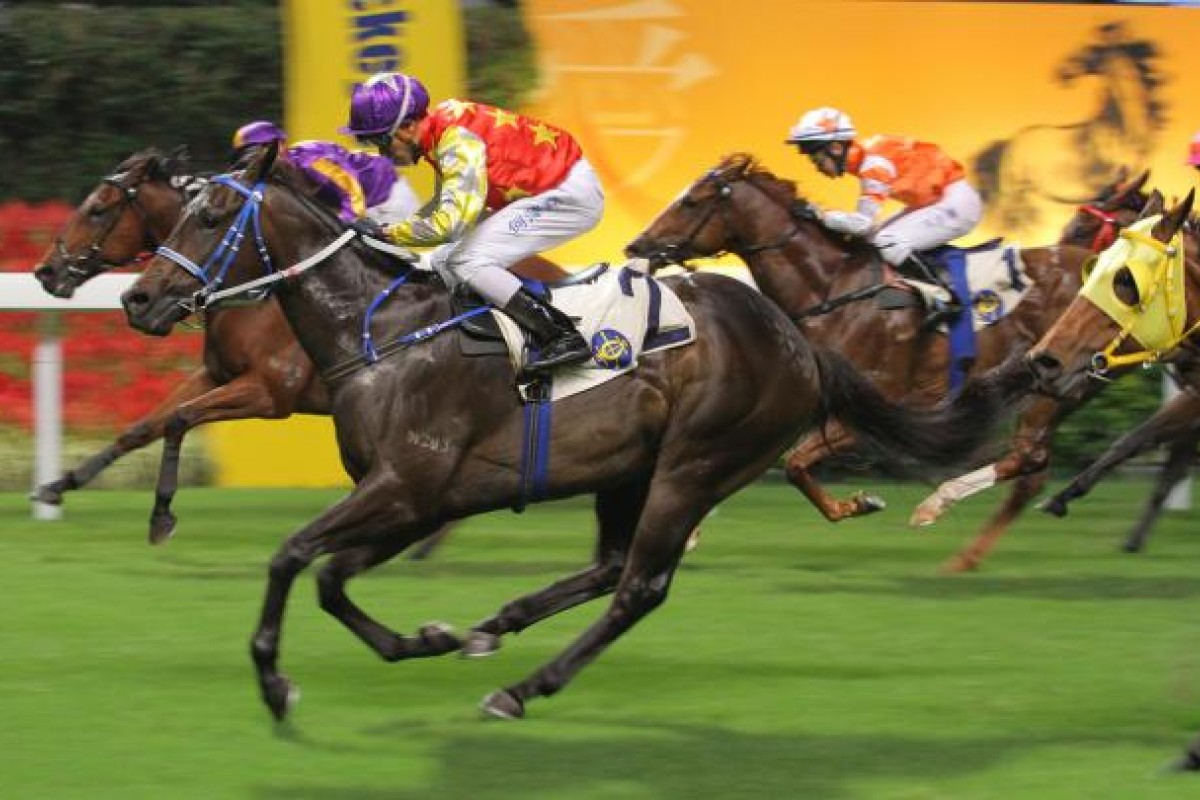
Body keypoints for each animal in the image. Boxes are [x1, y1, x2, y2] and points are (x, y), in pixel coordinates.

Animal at [31, 146, 566, 554]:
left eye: (98, 208)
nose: (46, 271)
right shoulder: (216, 374)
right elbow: (145, 427)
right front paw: (58, 486)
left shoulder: (269, 392)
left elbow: (180, 418)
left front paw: (161, 516)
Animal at [121, 145, 1017, 724]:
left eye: (210, 215)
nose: (138, 299)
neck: (380, 335)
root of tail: (797, 340)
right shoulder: (415, 499)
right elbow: (332, 579)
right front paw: (426, 637)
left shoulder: (407, 485)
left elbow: (290, 558)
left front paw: (275, 683)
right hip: (628, 470)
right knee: (611, 566)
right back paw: (494, 627)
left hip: (695, 464)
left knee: (639, 586)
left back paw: (523, 687)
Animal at [628, 153, 1113, 573]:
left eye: (692, 201)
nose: (637, 245)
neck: (831, 289)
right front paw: (690, 531)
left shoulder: (872, 407)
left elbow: (795, 463)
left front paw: (858, 504)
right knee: (1031, 471)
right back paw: (965, 555)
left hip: (1054, 381)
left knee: (1030, 456)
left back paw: (936, 506)